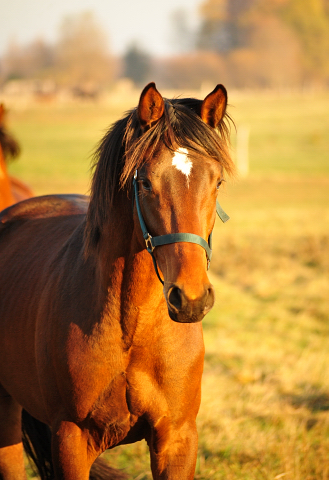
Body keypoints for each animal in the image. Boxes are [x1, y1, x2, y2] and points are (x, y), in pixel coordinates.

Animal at [0, 82, 233, 480]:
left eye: (216, 182)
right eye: (145, 182)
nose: (191, 299)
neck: (133, 328)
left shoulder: (177, 439)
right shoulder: (72, 439)